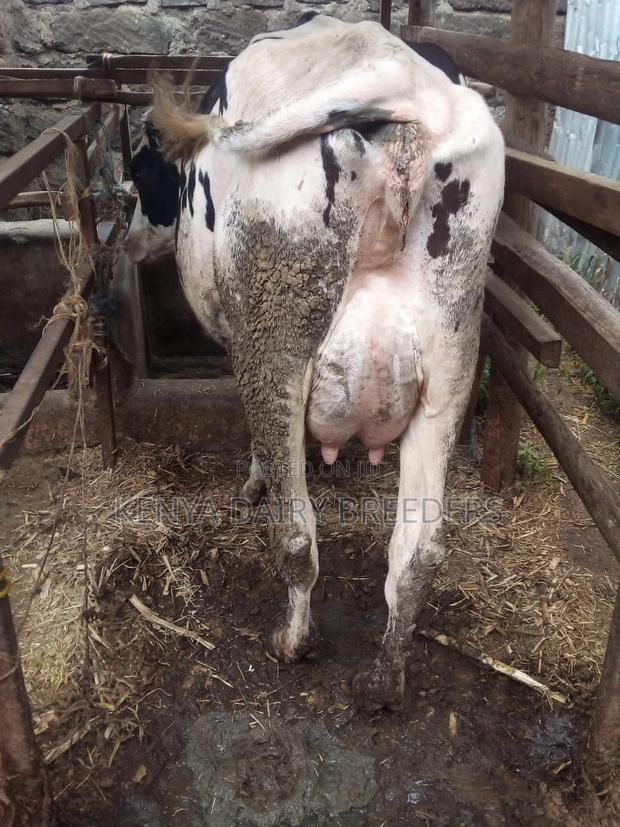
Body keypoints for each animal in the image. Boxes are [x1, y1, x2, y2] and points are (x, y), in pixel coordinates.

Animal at [125, 13, 504, 710]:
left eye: (143, 177)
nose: (135, 240)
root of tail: (392, 70)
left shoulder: (239, 337)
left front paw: (253, 482)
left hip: (277, 345)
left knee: (297, 536)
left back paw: (292, 641)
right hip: (451, 361)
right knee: (417, 554)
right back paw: (383, 681)